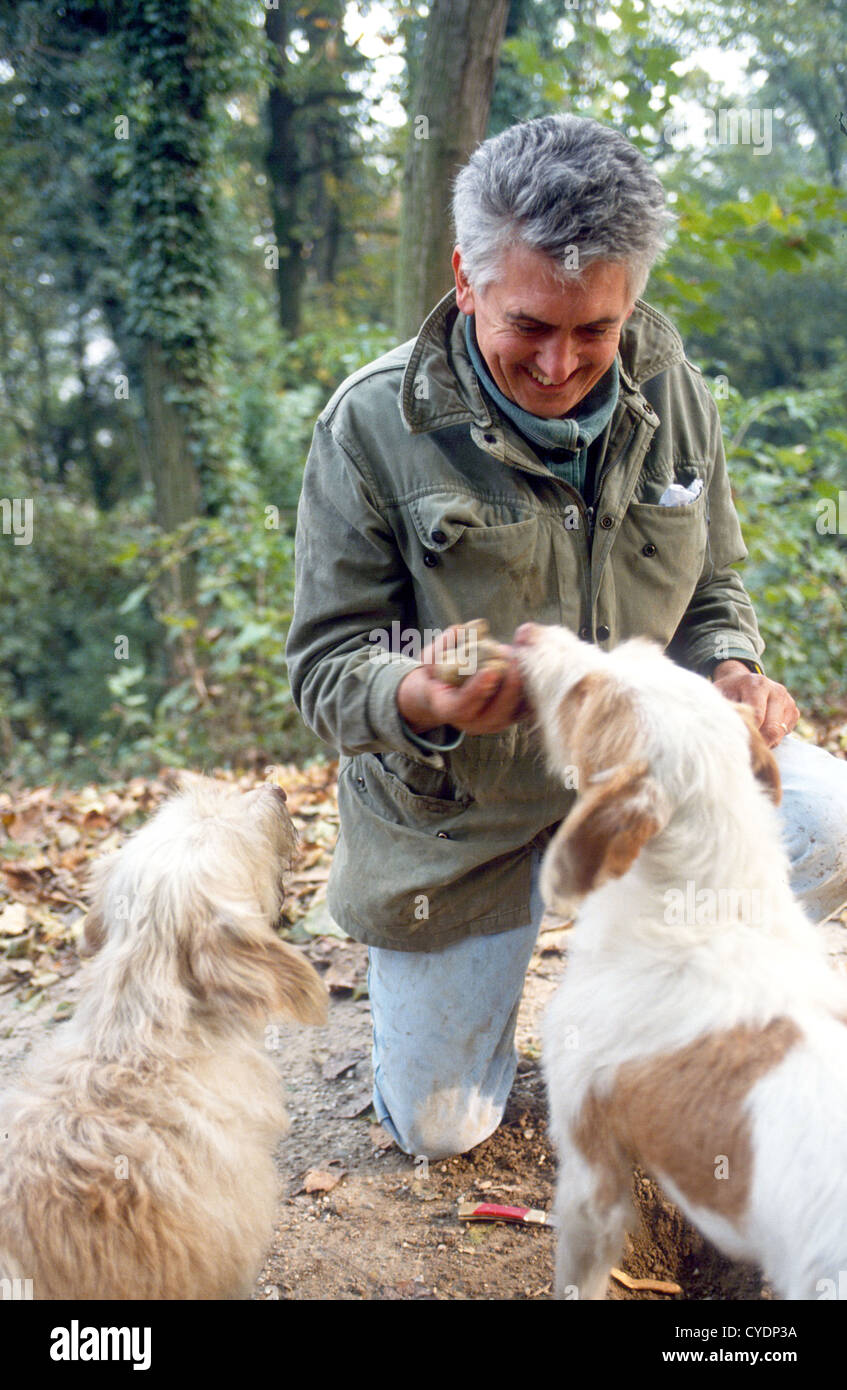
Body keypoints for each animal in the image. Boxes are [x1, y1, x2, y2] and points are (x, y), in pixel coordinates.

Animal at [511, 628, 845, 1301]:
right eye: (637, 652)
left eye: (584, 692)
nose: (531, 633)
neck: (712, 901)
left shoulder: (589, 1167)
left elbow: (578, 1275)